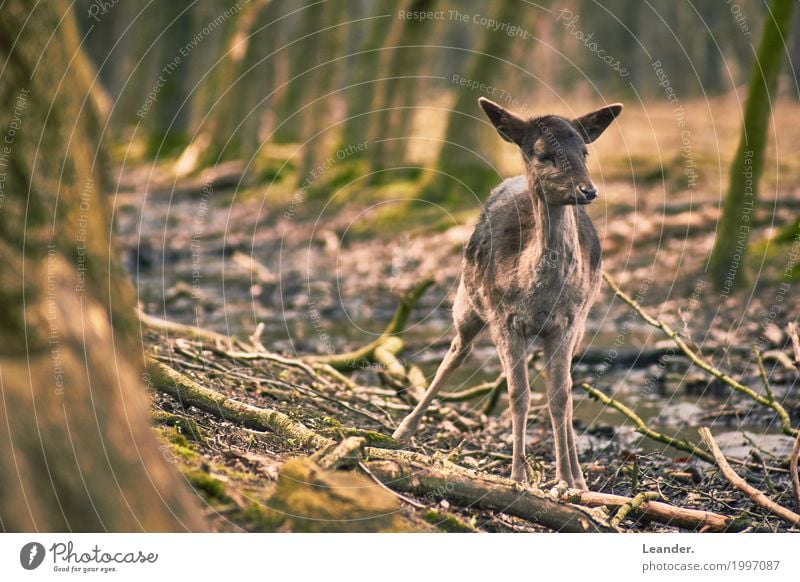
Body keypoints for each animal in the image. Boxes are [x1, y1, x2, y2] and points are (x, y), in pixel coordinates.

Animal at [394, 98, 624, 490]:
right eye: (543, 154)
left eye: (585, 150)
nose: (588, 191)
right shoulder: (504, 318)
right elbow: (519, 395)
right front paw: (518, 475)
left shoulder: (567, 321)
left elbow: (560, 396)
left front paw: (567, 480)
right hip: (467, 302)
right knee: (455, 353)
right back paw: (403, 430)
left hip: (581, 322)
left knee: (567, 387)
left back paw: (579, 476)